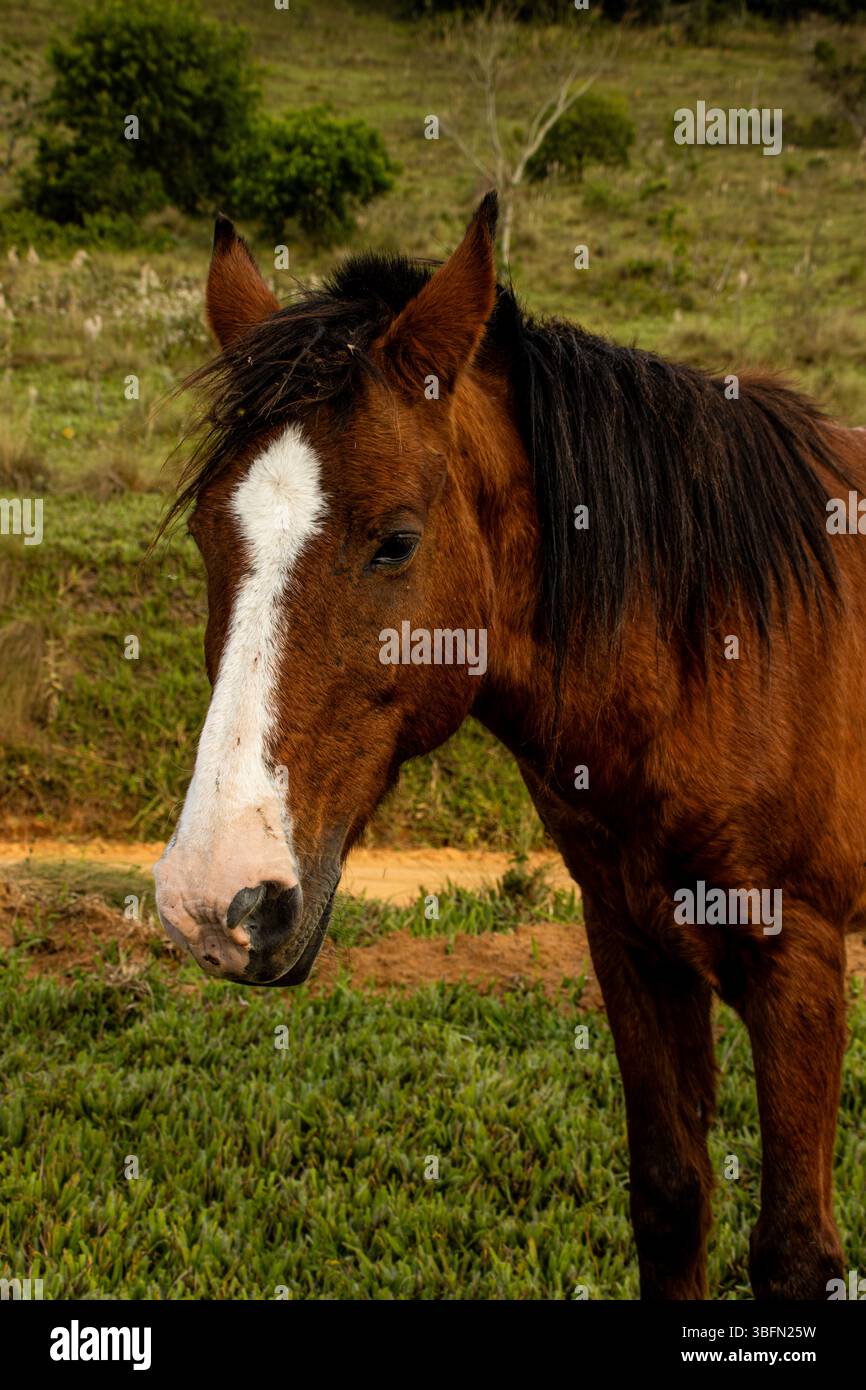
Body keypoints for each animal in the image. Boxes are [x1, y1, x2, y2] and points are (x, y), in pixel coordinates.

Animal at [154, 191, 866, 1300]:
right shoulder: (631, 940)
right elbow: (671, 1200)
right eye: (204, 535)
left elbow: (794, 1255)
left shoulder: (796, 956)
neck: (717, 647)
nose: (211, 899)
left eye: (396, 540)